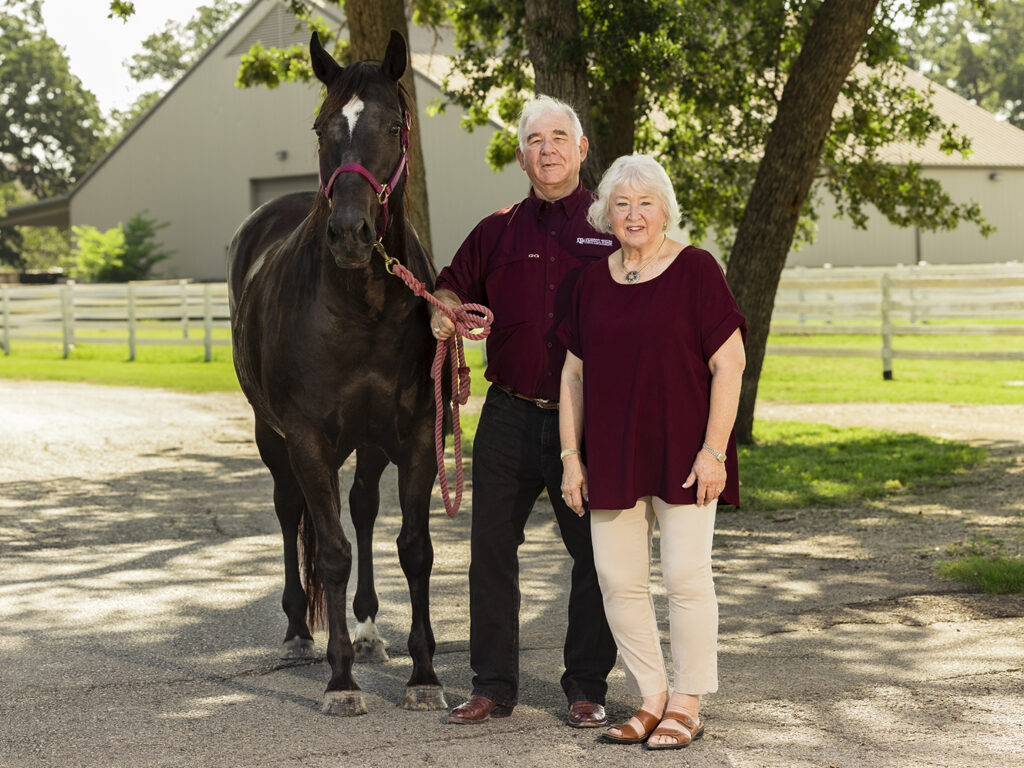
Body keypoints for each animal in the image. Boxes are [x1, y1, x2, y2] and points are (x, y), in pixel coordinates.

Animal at [228, 30, 444, 716]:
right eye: (322, 127)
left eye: (394, 125)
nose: (350, 232)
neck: (363, 306)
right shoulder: (307, 440)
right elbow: (329, 550)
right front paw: (341, 679)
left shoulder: (416, 434)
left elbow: (414, 548)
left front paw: (423, 675)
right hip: (272, 438)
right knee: (288, 511)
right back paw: (299, 634)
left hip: (370, 443)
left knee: (365, 508)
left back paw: (371, 630)